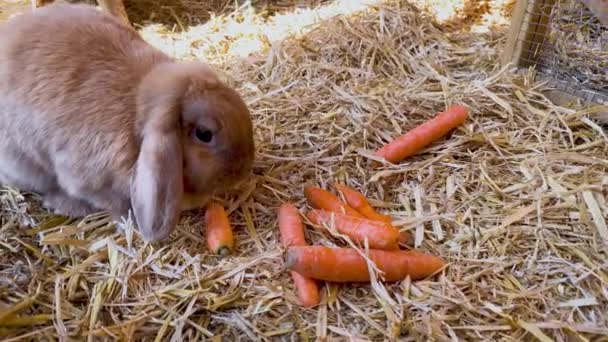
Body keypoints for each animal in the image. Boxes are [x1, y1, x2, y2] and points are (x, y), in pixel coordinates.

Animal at [0, 4, 254, 242]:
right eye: (204, 134)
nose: (243, 171)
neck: (137, 118)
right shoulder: (86, 179)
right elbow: (110, 202)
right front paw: (128, 222)